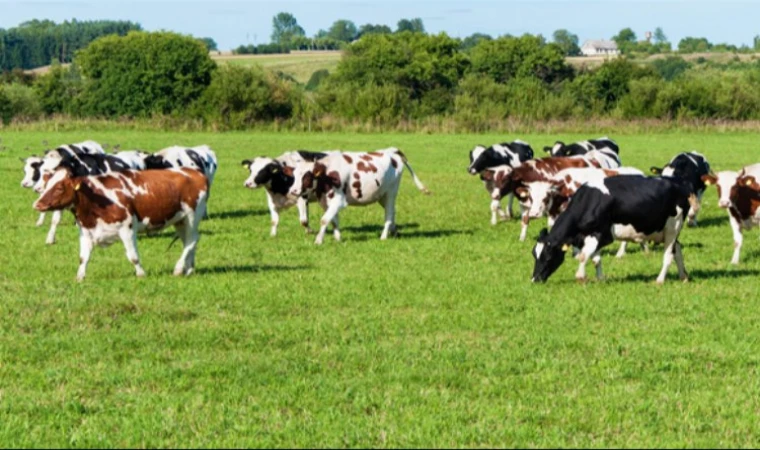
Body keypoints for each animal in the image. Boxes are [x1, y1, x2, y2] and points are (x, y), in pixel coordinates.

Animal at [33, 166, 208, 282]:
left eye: (59, 187)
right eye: (46, 185)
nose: (37, 204)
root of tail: (194, 172)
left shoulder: (127, 229)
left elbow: (133, 256)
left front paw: (141, 274)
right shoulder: (86, 231)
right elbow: (83, 257)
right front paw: (80, 277)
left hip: (193, 216)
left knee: (192, 240)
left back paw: (178, 269)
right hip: (180, 220)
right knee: (188, 242)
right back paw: (189, 269)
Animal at [288, 148, 430, 244]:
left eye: (307, 177)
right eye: (294, 176)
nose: (293, 191)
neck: (327, 174)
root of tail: (392, 151)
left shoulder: (339, 201)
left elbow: (325, 220)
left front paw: (318, 240)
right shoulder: (326, 202)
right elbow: (334, 221)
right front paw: (338, 238)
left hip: (391, 192)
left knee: (389, 214)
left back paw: (383, 236)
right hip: (382, 195)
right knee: (392, 212)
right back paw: (394, 232)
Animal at [528, 176, 696, 284]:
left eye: (548, 257)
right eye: (534, 255)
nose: (534, 279)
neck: (590, 201)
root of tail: (681, 187)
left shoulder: (601, 235)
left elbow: (583, 256)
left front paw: (581, 276)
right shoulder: (589, 237)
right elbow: (595, 259)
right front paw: (600, 279)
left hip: (672, 227)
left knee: (668, 254)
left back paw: (660, 280)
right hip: (668, 232)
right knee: (677, 250)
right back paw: (683, 277)